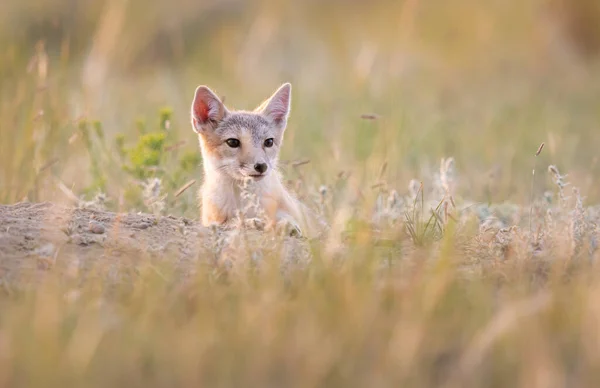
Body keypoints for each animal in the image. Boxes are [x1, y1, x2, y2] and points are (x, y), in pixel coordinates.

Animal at [191, 83, 322, 238]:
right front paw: (250, 222)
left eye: (269, 142)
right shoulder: (213, 220)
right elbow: (232, 222)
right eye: (233, 142)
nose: (261, 166)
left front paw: (287, 226)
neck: (245, 201)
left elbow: (285, 218)